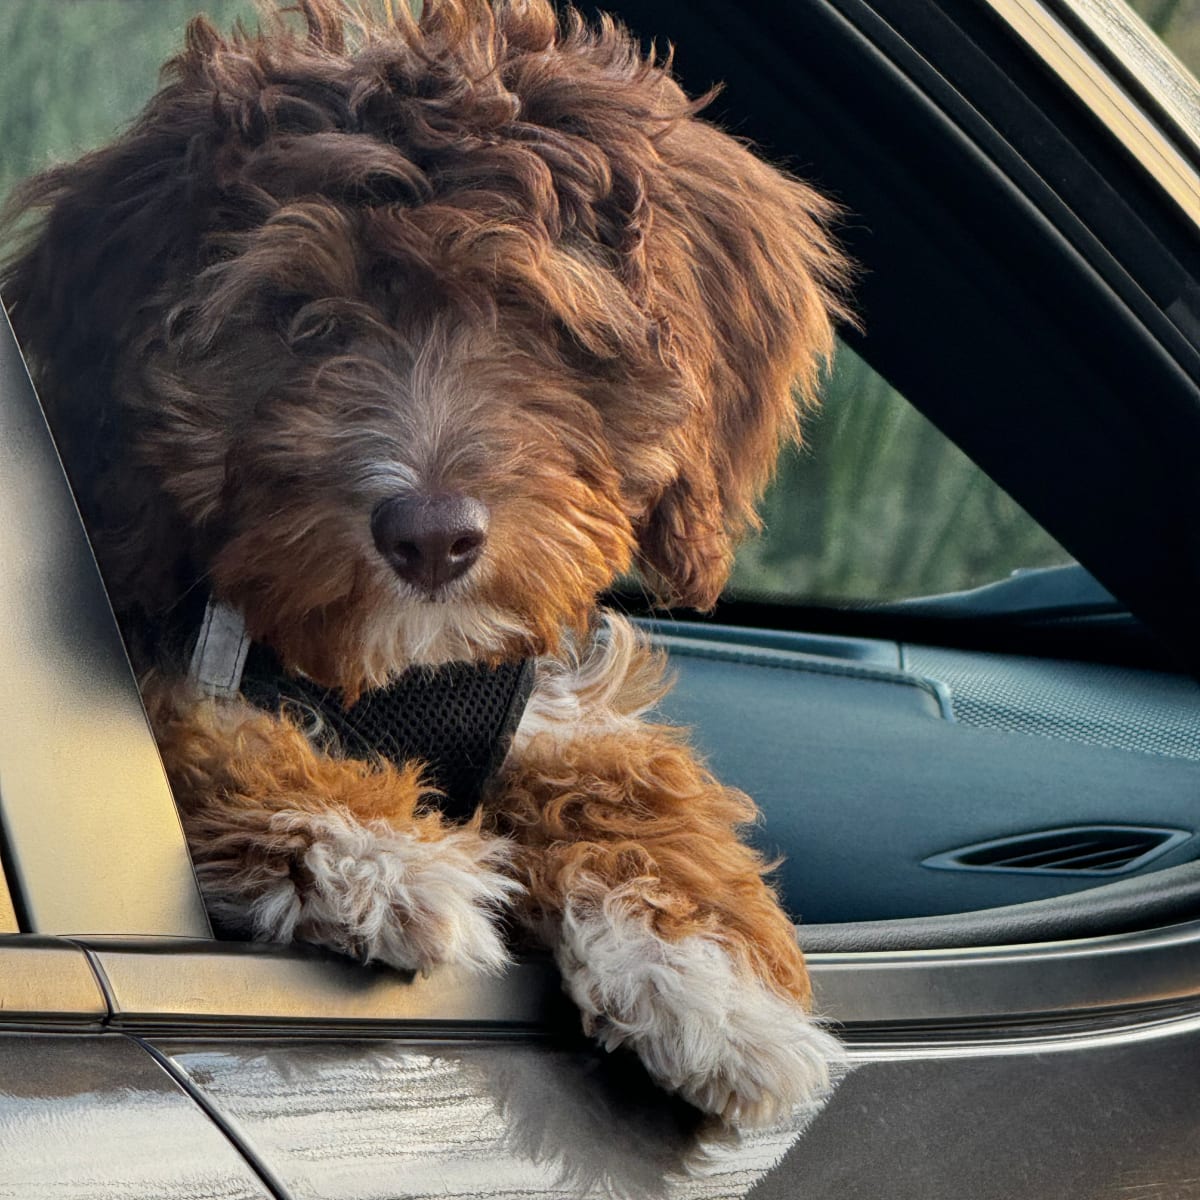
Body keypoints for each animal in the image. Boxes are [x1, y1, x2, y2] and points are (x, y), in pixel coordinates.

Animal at [7, 0, 854, 1123]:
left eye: (534, 319)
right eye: (300, 318)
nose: (432, 536)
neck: (405, 671)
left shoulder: (544, 701)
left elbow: (627, 766)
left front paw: (713, 974)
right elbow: (203, 727)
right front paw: (372, 849)